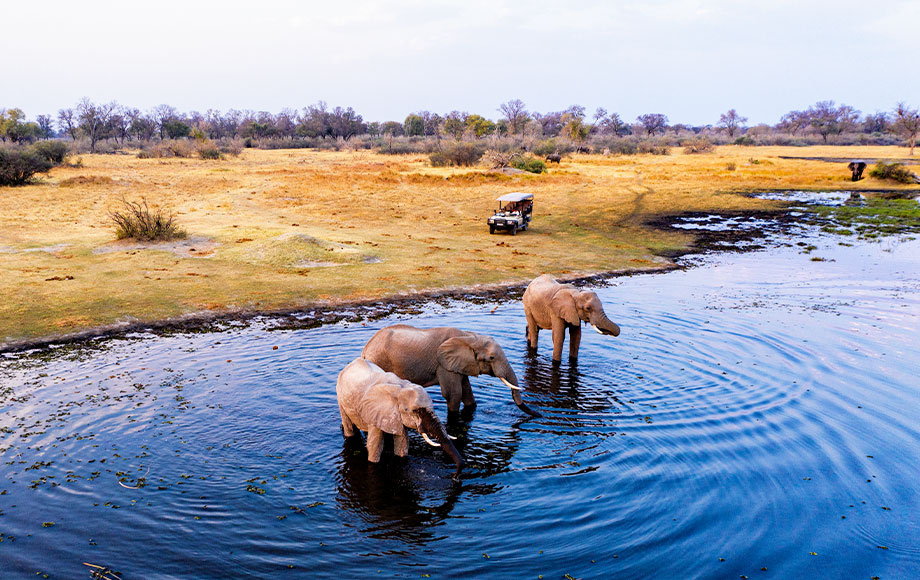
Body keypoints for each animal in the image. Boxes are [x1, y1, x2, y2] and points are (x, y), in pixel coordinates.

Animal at [336, 356, 464, 478]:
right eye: (416, 411)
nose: (454, 475)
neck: (400, 388)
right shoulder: (375, 412)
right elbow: (375, 446)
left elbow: (402, 443)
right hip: (340, 395)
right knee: (348, 426)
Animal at [362, 326, 544, 416]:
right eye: (492, 358)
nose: (539, 415)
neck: (469, 336)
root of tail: (365, 350)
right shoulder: (443, 365)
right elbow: (454, 394)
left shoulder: (460, 365)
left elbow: (467, 392)